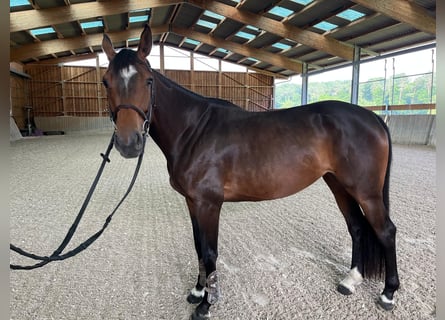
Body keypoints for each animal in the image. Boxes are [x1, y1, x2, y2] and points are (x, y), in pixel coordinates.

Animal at [100, 24, 398, 318]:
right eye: (105, 81)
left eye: (148, 80)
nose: (128, 143)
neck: (194, 130)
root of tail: (371, 117)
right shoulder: (192, 202)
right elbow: (198, 247)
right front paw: (197, 291)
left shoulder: (209, 204)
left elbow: (209, 252)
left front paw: (206, 305)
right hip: (338, 184)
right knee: (356, 227)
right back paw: (351, 280)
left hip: (366, 192)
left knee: (385, 231)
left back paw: (388, 294)